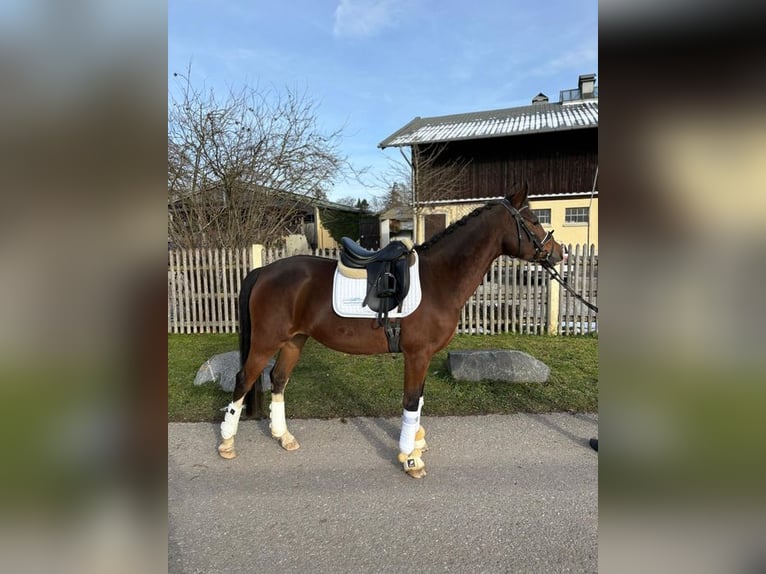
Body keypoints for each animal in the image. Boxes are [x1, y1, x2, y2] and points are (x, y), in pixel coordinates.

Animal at [219, 187, 568, 480]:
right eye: (533, 220)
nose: (559, 253)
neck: (439, 278)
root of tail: (264, 271)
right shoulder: (417, 354)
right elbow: (411, 402)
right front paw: (411, 459)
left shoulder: (422, 357)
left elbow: (420, 400)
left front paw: (415, 445)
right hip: (266, 342)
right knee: (243, 379)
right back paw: (226, 443)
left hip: (294, 341)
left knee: (278, 379)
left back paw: (284, 436)